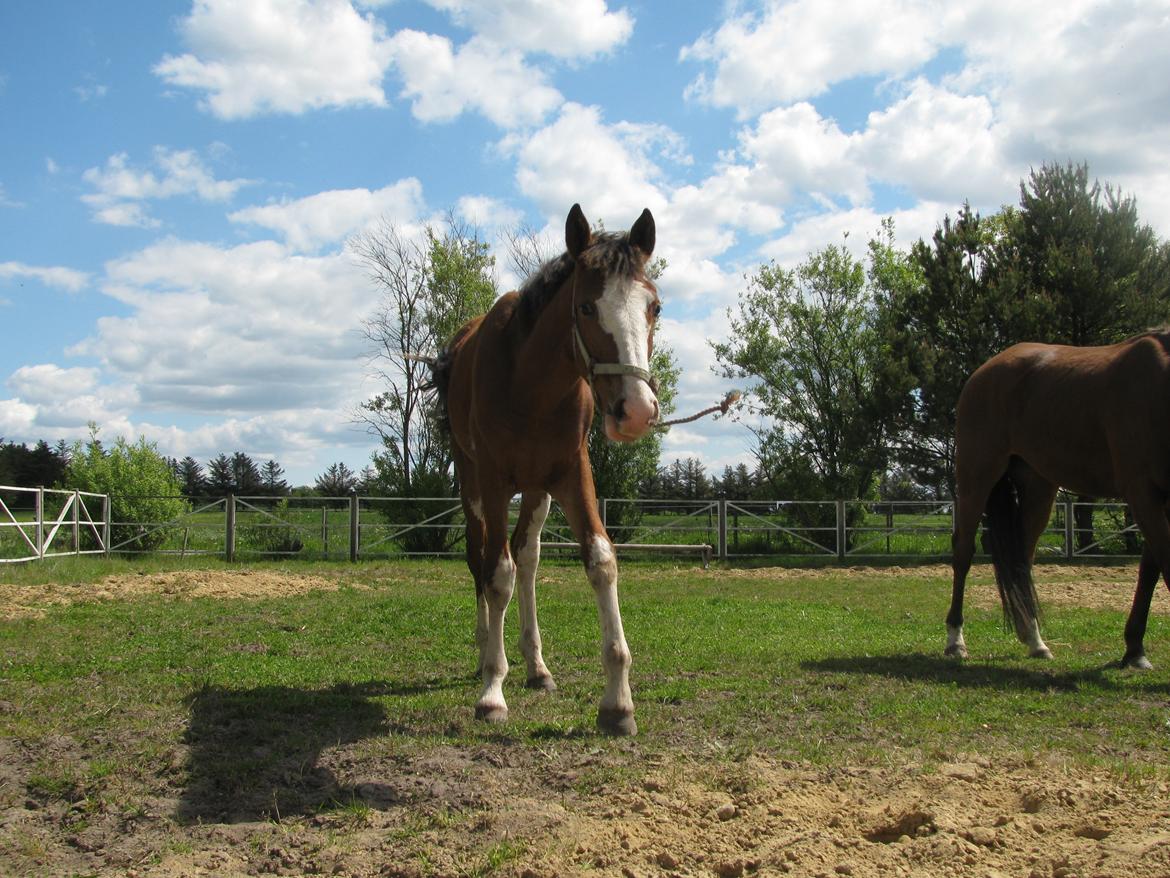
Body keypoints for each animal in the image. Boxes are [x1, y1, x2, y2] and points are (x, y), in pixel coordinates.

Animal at [435, 206, 664, 735]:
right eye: (586, 308)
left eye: (655, 307)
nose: (636, 411)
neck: (530, 385)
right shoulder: (495, 480)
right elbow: (496, 573)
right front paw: (492, 691)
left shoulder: (571, 474)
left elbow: (600, 560)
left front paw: (618, 704)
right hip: (473, 483)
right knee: (482, 560)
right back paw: (485, 651)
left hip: (537, 491)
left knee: (528, 557)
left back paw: (536, 667)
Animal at [945, 330, 1170, 664]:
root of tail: (983, 371)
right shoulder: (1143, 492)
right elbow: (1164, 564)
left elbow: (1150, 570)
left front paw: (1134, 649)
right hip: (977, 478)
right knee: (963, 553)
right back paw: (956, 640)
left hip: (1039, 486)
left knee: (1022, 559)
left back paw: (1034, 640)